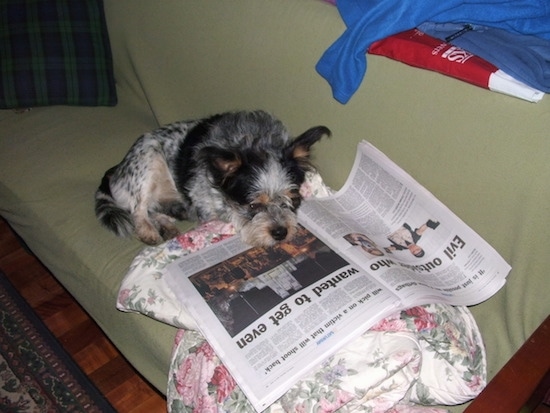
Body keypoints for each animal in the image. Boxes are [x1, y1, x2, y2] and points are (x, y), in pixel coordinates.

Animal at [94, 109, 332, 246]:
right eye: (252, 206)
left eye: (293, 199)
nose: (281, 233)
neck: (254, 142)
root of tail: (117, 169)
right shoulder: (208, 207)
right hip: (148, 157)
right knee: (138, 208)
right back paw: (149, 231)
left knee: (155, 209)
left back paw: (168, 224)